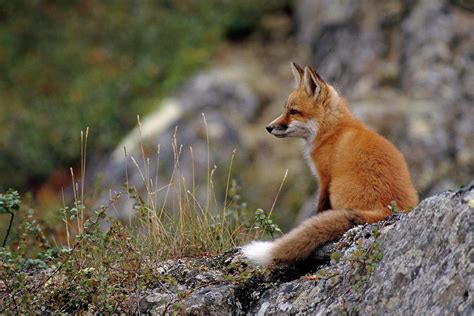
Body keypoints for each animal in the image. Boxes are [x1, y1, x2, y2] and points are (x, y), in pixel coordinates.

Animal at [243, 63, 416, 266]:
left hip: (337, 189)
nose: (268, 127)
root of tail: (388, 209)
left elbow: (320, 208)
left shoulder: (325, 178)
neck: (331, 131)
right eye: (285, 109)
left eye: (293, 111)